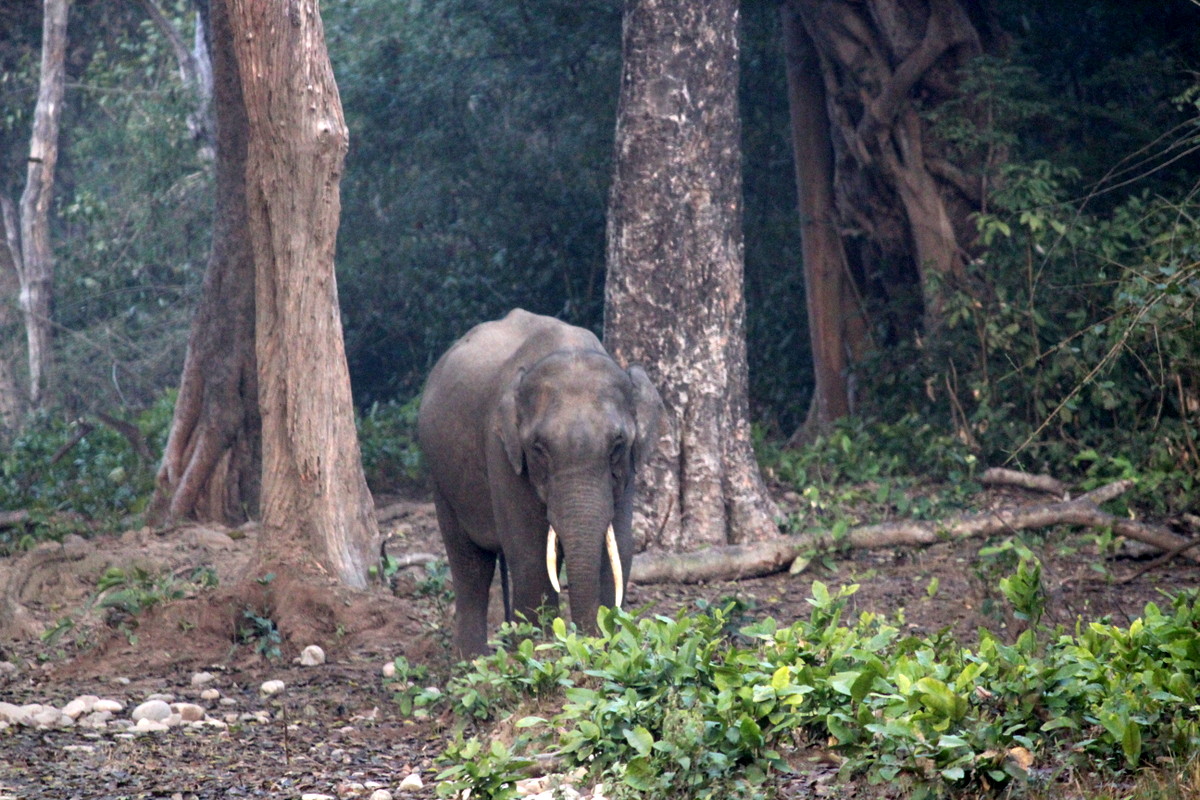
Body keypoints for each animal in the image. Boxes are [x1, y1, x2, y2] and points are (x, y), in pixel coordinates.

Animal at [420, 307, 667, 657]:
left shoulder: (627, 471)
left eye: (618, 443)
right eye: (538, 447)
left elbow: (618, 546)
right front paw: (539, 651)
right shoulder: (502, 452)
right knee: (469, 562)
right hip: (440, 477)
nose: (588, 640)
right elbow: (530, 554)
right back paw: (473, 662)